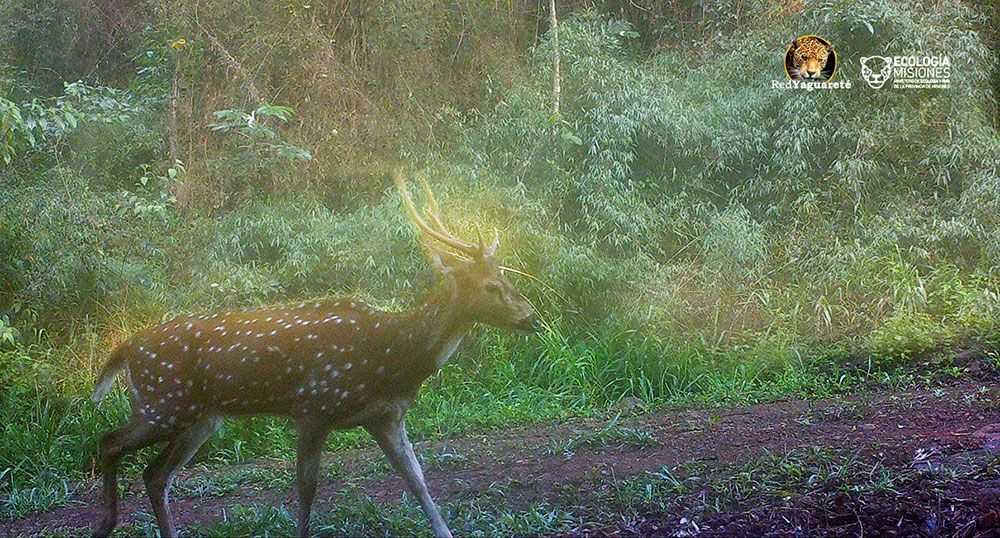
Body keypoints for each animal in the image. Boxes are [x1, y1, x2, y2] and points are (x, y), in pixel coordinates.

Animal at [89, 170, 540, 538]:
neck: (391, 354)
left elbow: (418, 482)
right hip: (164, 403)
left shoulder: (387, 417)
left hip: (200, 418)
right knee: (109, 441)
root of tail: (125, 348)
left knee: (154, 474)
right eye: (490, 286)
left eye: (506, 277)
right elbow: (306, 492)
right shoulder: (313, 407)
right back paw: (106, 523)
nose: (532, 317)